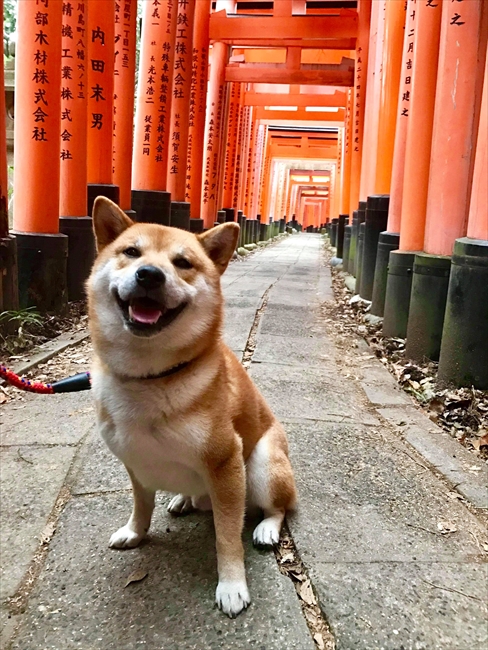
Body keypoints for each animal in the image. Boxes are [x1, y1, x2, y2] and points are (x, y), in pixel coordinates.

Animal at [87, 197, 298, 616]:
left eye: (183, 262)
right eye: (131, 252)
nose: (149, 275)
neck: (150, 377)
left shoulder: (225, 460)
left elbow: (227, 537)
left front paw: (232, 585)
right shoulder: (134, 461)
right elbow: (141, 506)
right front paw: (134, 533)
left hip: (263, 464)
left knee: (277, 507)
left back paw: (267, 527)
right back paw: (183, 499)